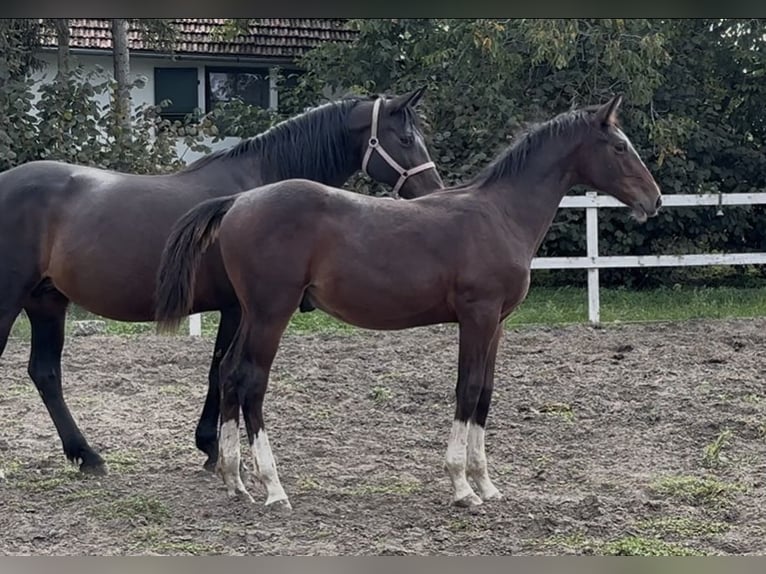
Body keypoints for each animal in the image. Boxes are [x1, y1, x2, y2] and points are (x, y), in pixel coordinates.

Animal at [0, 87, 444, 476]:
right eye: (406, 138)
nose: (434, 191)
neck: (257, 190)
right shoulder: (237, 308)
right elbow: (219, 369)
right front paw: (213, 448)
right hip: (12, 300)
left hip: (46, 301)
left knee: (45, 373)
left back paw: (86, 455)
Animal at [155, 94, 662, 511]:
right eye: (620, 147)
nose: (654, 200)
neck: (499, 215)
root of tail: (239, 201)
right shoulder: (476, 317)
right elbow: (467, 389)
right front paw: (462, 487)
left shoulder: (497, 324)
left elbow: (486, 393)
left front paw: (487, 484)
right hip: (270, 314)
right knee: (251, 382)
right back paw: (273, 488)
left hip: (249, 314)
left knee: (228, 375)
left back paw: (234, 480)